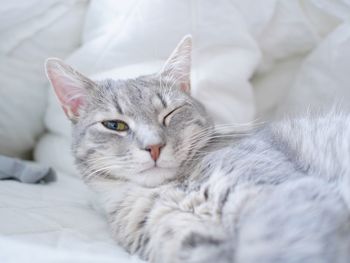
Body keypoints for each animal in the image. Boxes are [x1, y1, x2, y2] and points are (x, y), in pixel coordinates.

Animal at [45, 35, 350, 263]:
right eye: (114, 125)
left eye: (170, 114)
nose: (153, 146)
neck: (168, 190)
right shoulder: (186, 239)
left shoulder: (284, 194)